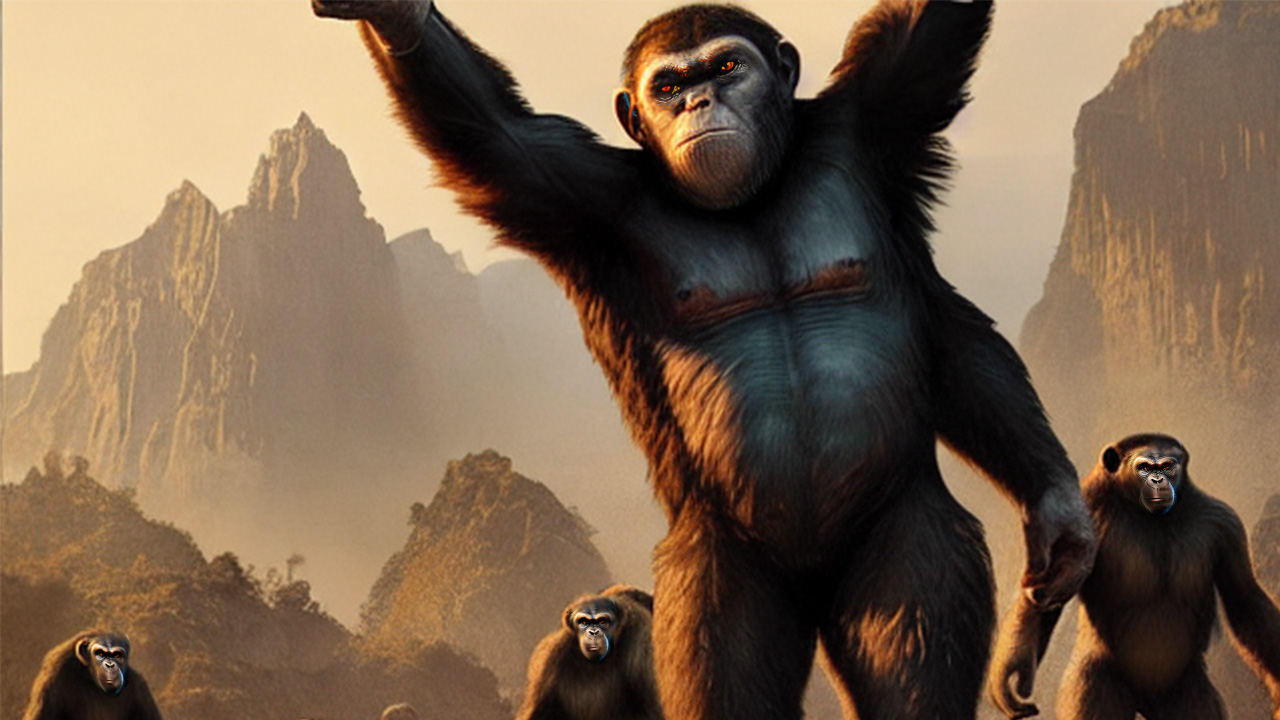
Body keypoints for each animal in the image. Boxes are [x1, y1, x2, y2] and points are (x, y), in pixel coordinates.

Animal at [989, 433, 1280, 719]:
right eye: (1145, 468)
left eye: (1167, 466)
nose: (1158, 479)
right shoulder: (1085, 510)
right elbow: (1054, 582)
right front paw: (1013, 666)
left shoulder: (1225, 525)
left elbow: (1243, 597)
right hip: (1099, 683)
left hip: (1185, 691)